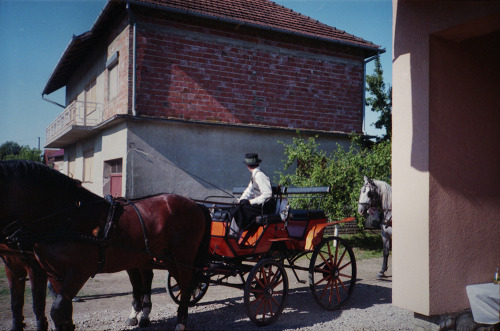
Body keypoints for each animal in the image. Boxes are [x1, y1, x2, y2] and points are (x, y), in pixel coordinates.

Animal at [0, 160, 211, 330]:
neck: (68, 216)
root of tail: (195, 204)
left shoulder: (78, 272)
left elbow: (56, 310)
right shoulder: (53, 273)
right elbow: (53, 311)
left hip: (183, 257)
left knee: (185, 285)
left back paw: (180, 322)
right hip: (162, 258)